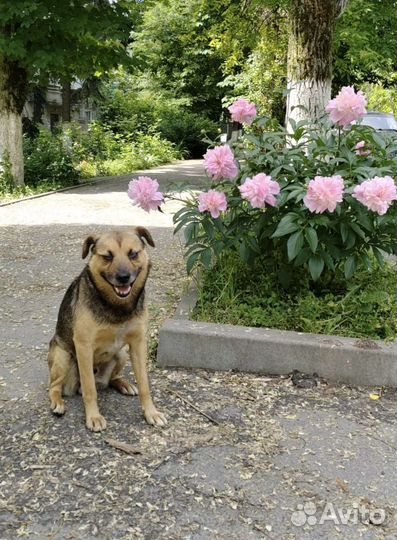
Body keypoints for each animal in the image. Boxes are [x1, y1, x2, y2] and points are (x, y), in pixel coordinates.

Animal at [48, 227, 166, 430]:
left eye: (133, 254)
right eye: (107, 256)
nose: (123, 277)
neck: (117, 307)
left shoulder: (138, 343)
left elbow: (144, 384)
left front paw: (151, 413)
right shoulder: (84, 346)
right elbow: (89, 389)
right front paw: (94, 417)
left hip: (122, 354)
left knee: (112, 378)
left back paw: (123, 384)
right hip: (63, 356)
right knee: (54, 386)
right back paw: (58, 402)